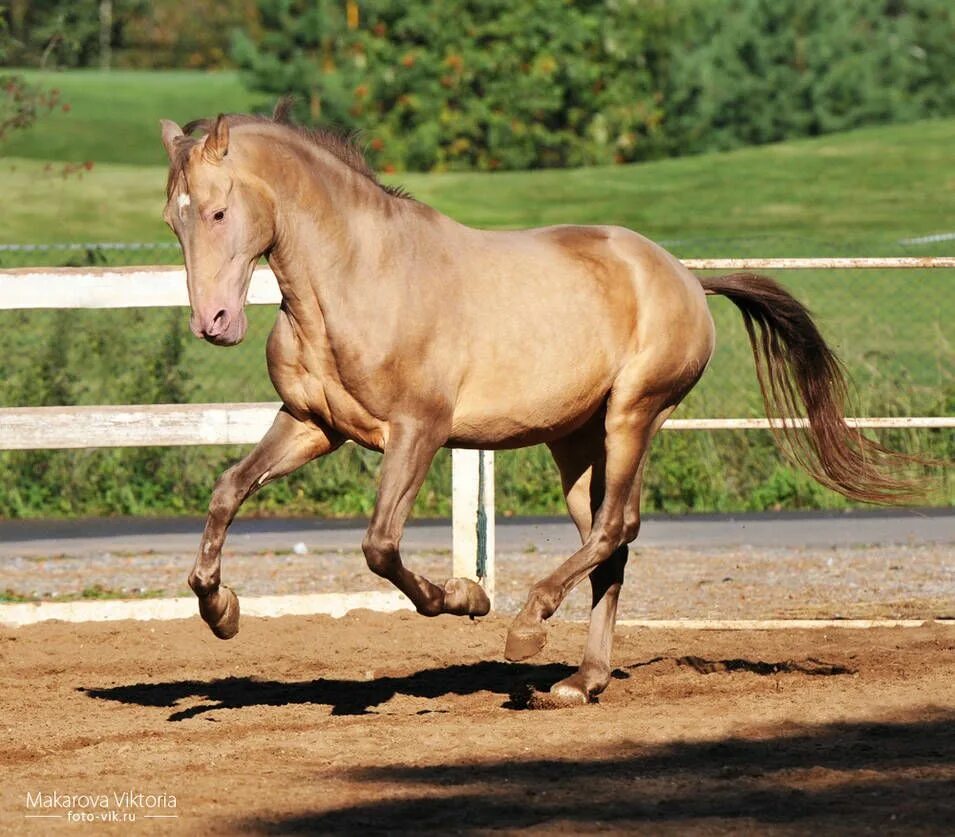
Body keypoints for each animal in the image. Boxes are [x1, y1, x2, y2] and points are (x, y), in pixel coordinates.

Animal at [159, 104, 920, 704]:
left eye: (220, 211)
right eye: (174, 220)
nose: (214, 322)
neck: (359, 277)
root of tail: (683, 276)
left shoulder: (418, 431)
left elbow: (380, 546)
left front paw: (467, 598)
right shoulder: (313, 426)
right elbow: (228, 490)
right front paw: (220, 609)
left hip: (632, 415)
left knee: (615, 528)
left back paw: (527, 628)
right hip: (574, 441)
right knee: (608, 546)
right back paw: (581, 680)